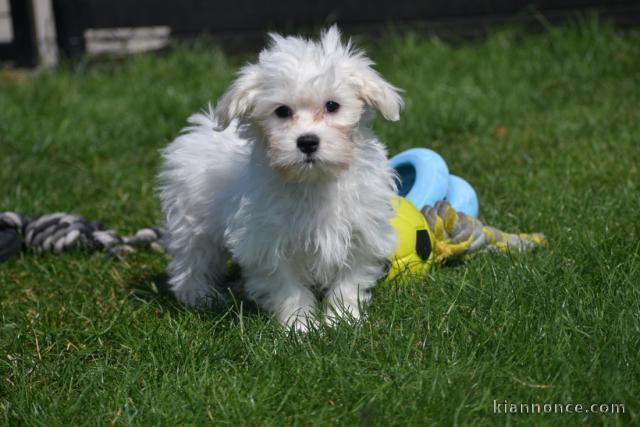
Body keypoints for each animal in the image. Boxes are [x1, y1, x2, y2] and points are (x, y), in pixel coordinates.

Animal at [158, 26, 402, 332]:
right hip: (191, 218)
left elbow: (349, 281)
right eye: (282, 111)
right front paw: (300, 327)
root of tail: (199, 129)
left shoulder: (361, 233)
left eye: (332, 106)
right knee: (193, 257)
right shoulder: (267, 241)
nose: (307, 142)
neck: (313, 182)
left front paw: (342, 320)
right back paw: (198, 295)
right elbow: (288, 287)